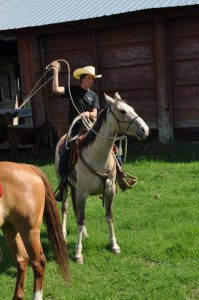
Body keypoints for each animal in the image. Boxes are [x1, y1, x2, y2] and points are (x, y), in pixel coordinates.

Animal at [54, 91, 149, 262]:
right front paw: (78, 253)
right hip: (64, 186)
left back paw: (85, 233)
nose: (145, 129)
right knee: (65, 207)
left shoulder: (109, 191)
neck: (97, 156)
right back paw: (63, 233)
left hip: (75, 189)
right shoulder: (82, 193)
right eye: (122, 111)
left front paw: (114, 245)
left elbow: (108, 217)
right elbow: (80, 219)